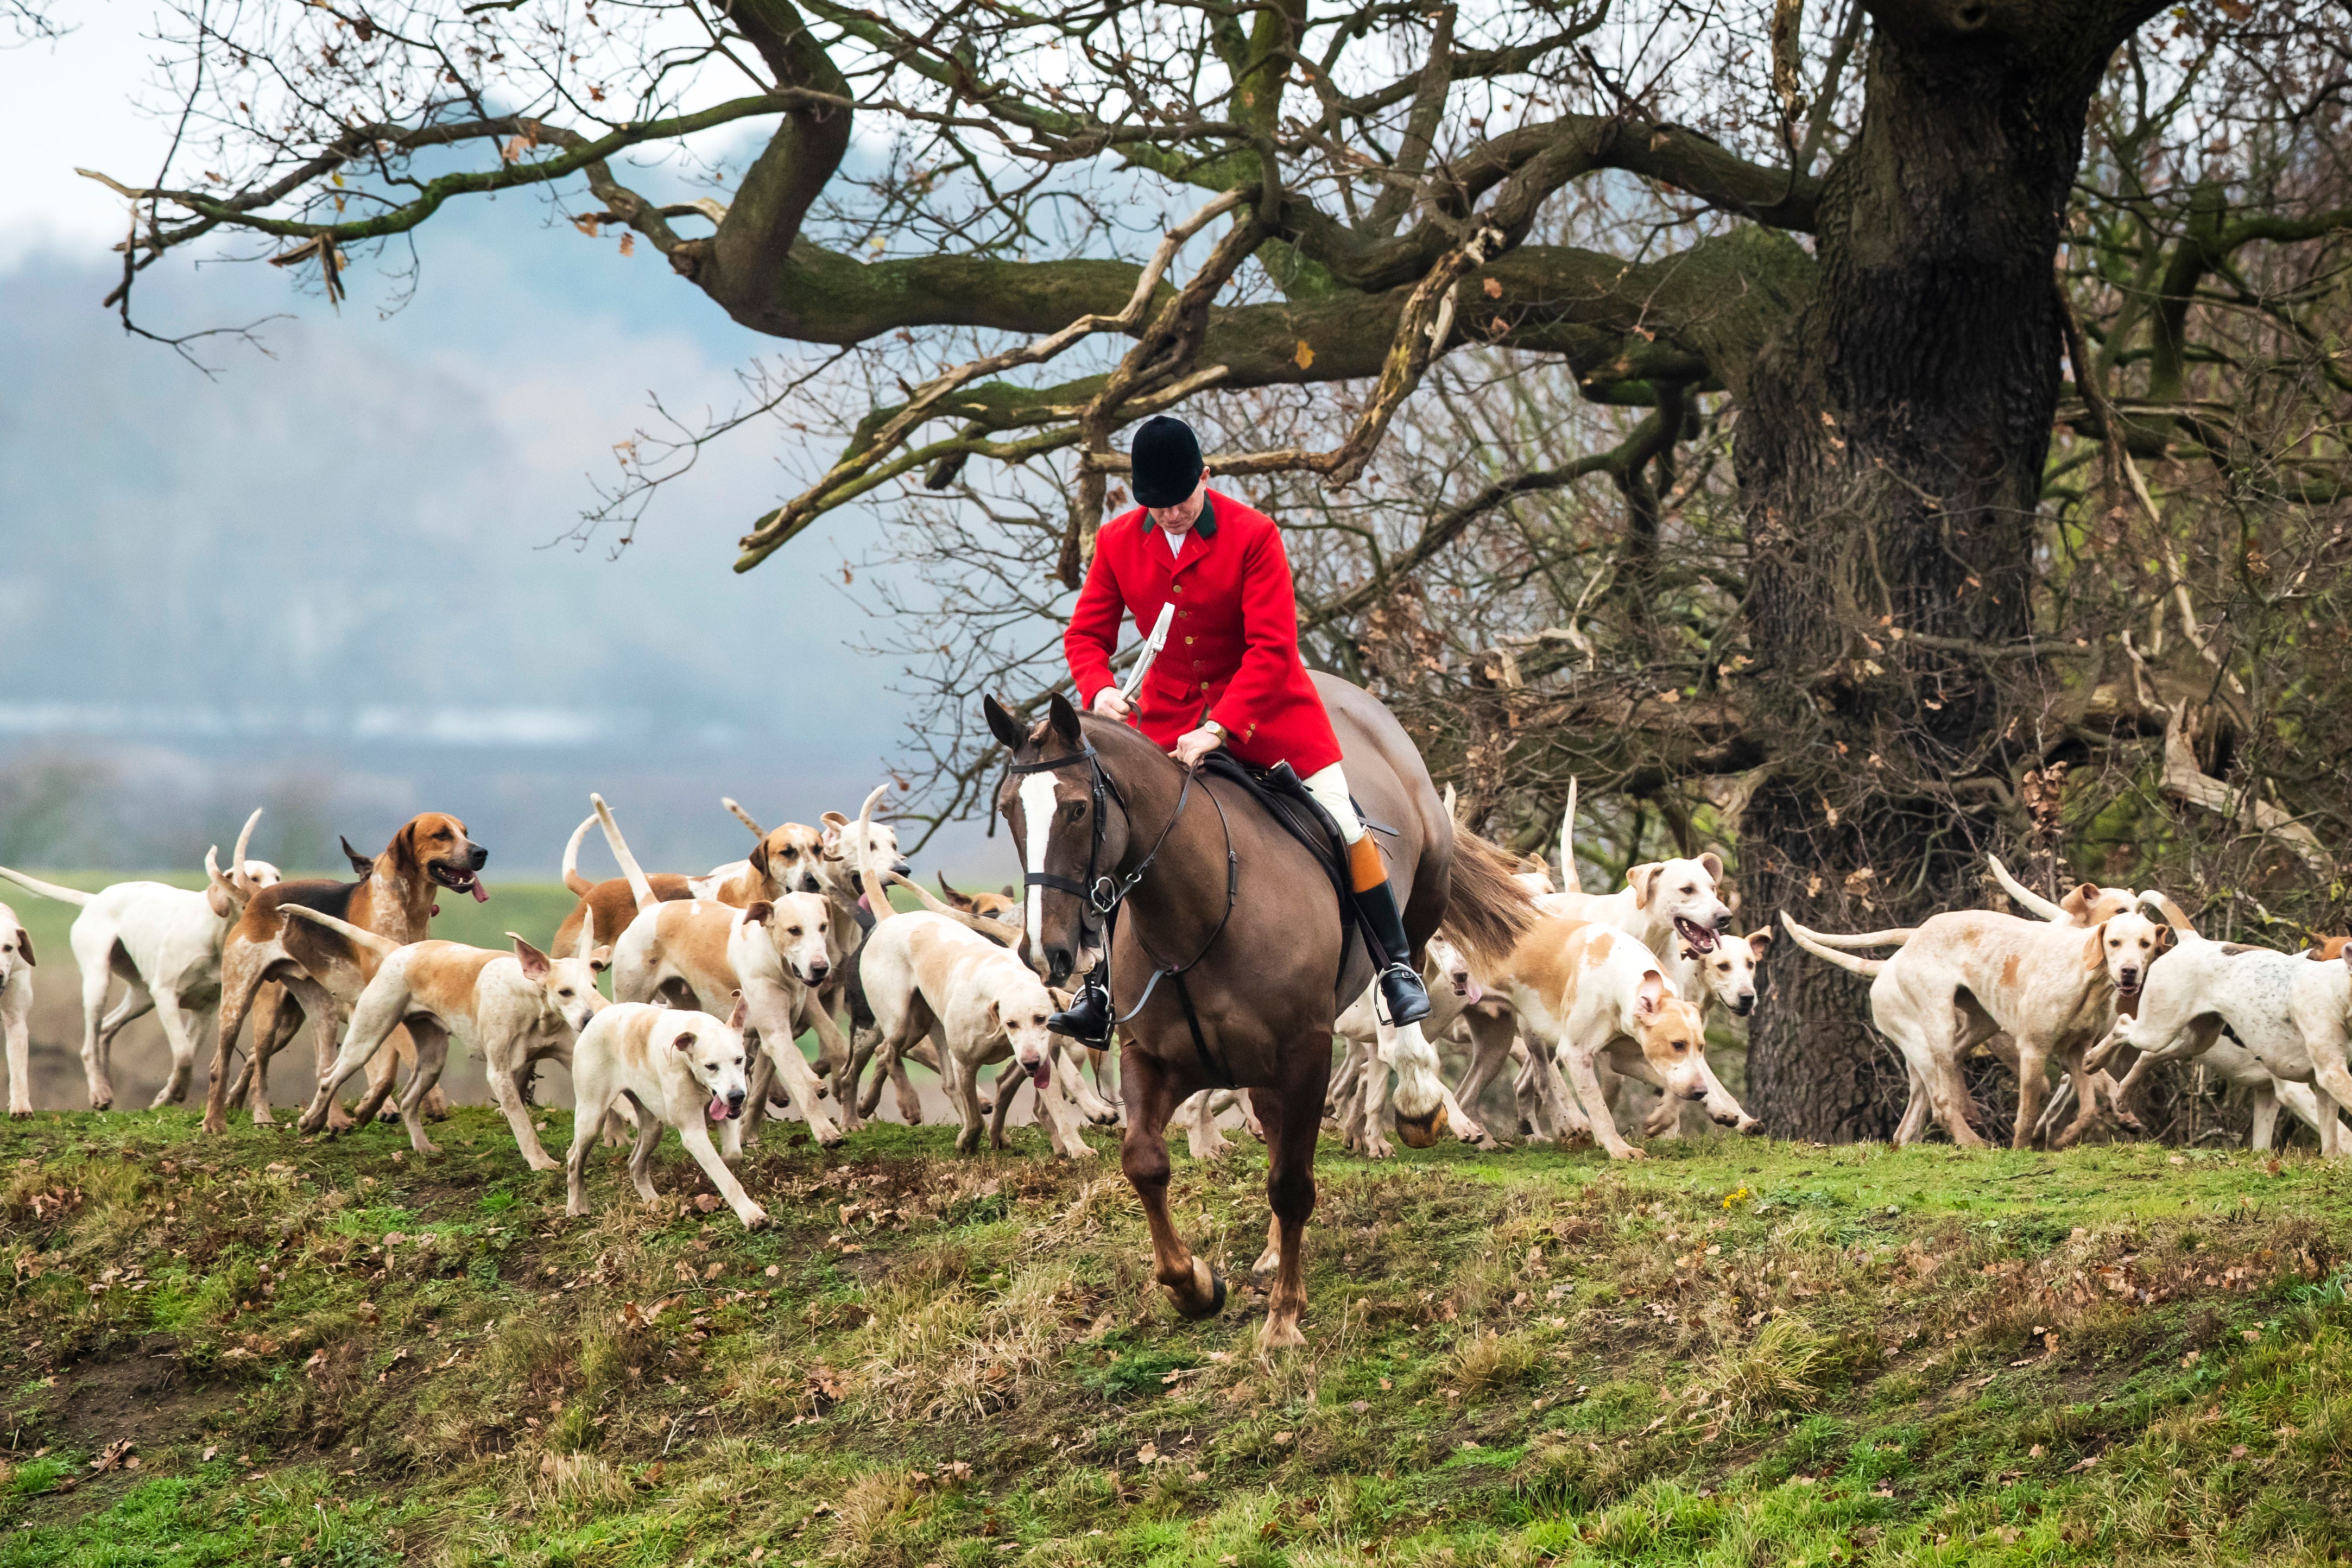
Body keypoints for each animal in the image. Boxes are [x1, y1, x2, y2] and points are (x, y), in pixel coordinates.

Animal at [983, 676, 1533, 1354]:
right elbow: (1145, 1161)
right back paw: (1271, 1253)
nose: (1045, 951)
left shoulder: (1305, 1054)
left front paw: (1284, 1318)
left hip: (1425, 892)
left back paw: (1418, 1091)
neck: (1198, 912)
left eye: (1079, 808)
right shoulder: (1154, 1059)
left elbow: (1291, 1182)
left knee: (1406, 974)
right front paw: (1193, 1285)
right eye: (1009, 809)